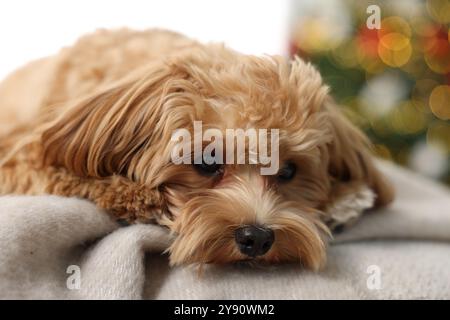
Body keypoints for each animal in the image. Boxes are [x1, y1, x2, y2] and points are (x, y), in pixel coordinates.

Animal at [0, 29, 394, 270]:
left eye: (288, 171)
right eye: (207, 162)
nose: (257, 237)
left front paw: (346, 199)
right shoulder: (20, 156)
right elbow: (63, 174)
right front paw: (134, 197)